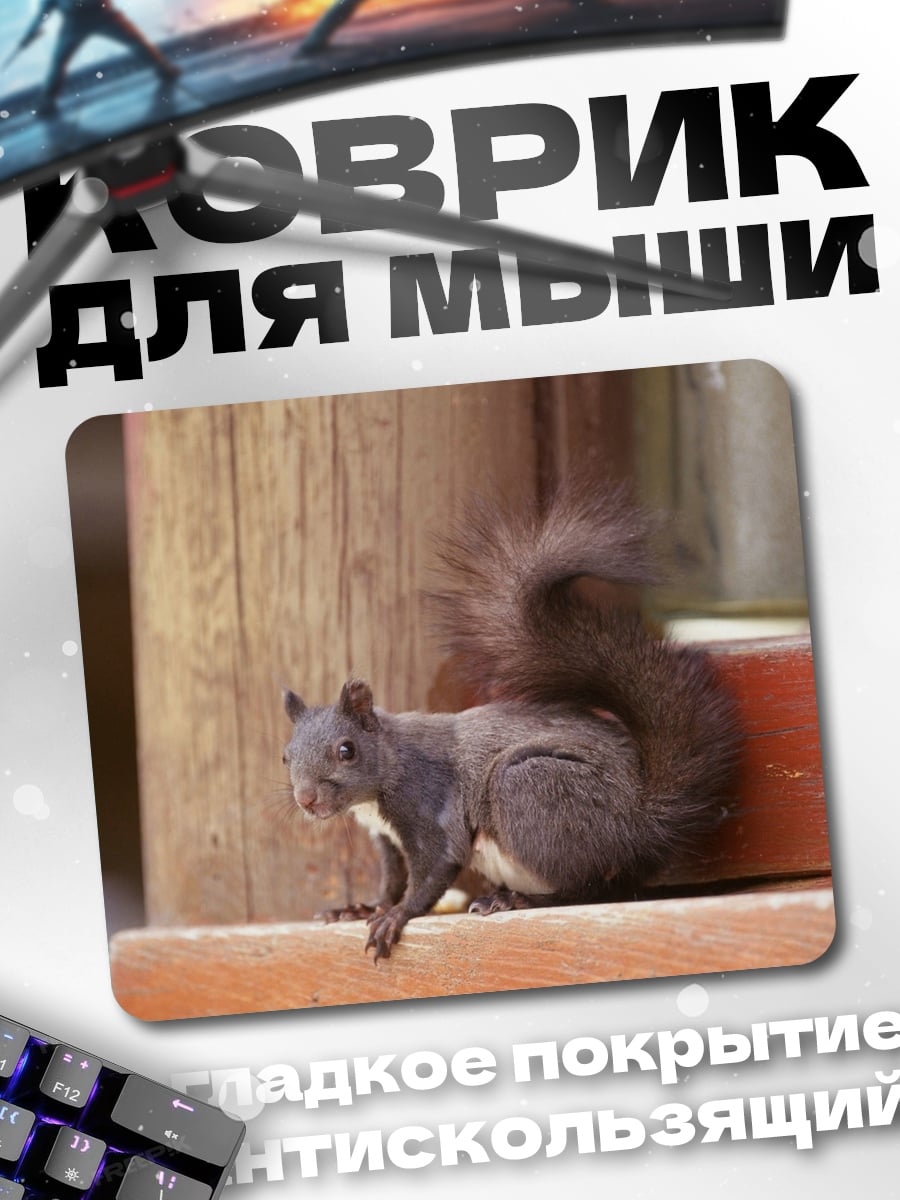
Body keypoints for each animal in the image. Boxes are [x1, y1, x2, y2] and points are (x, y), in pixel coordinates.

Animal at [281, 480, 740, 962]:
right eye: (285, 757)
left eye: (346, 750)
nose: (306, 800)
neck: (386, 768)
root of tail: (644, 818)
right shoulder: (388, 840)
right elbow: (393, 879)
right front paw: (362, 907)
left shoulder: (430, 803)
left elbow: (435, 865)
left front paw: (397, 915)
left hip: (530, 788)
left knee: (592, 889)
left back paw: (518, 900)